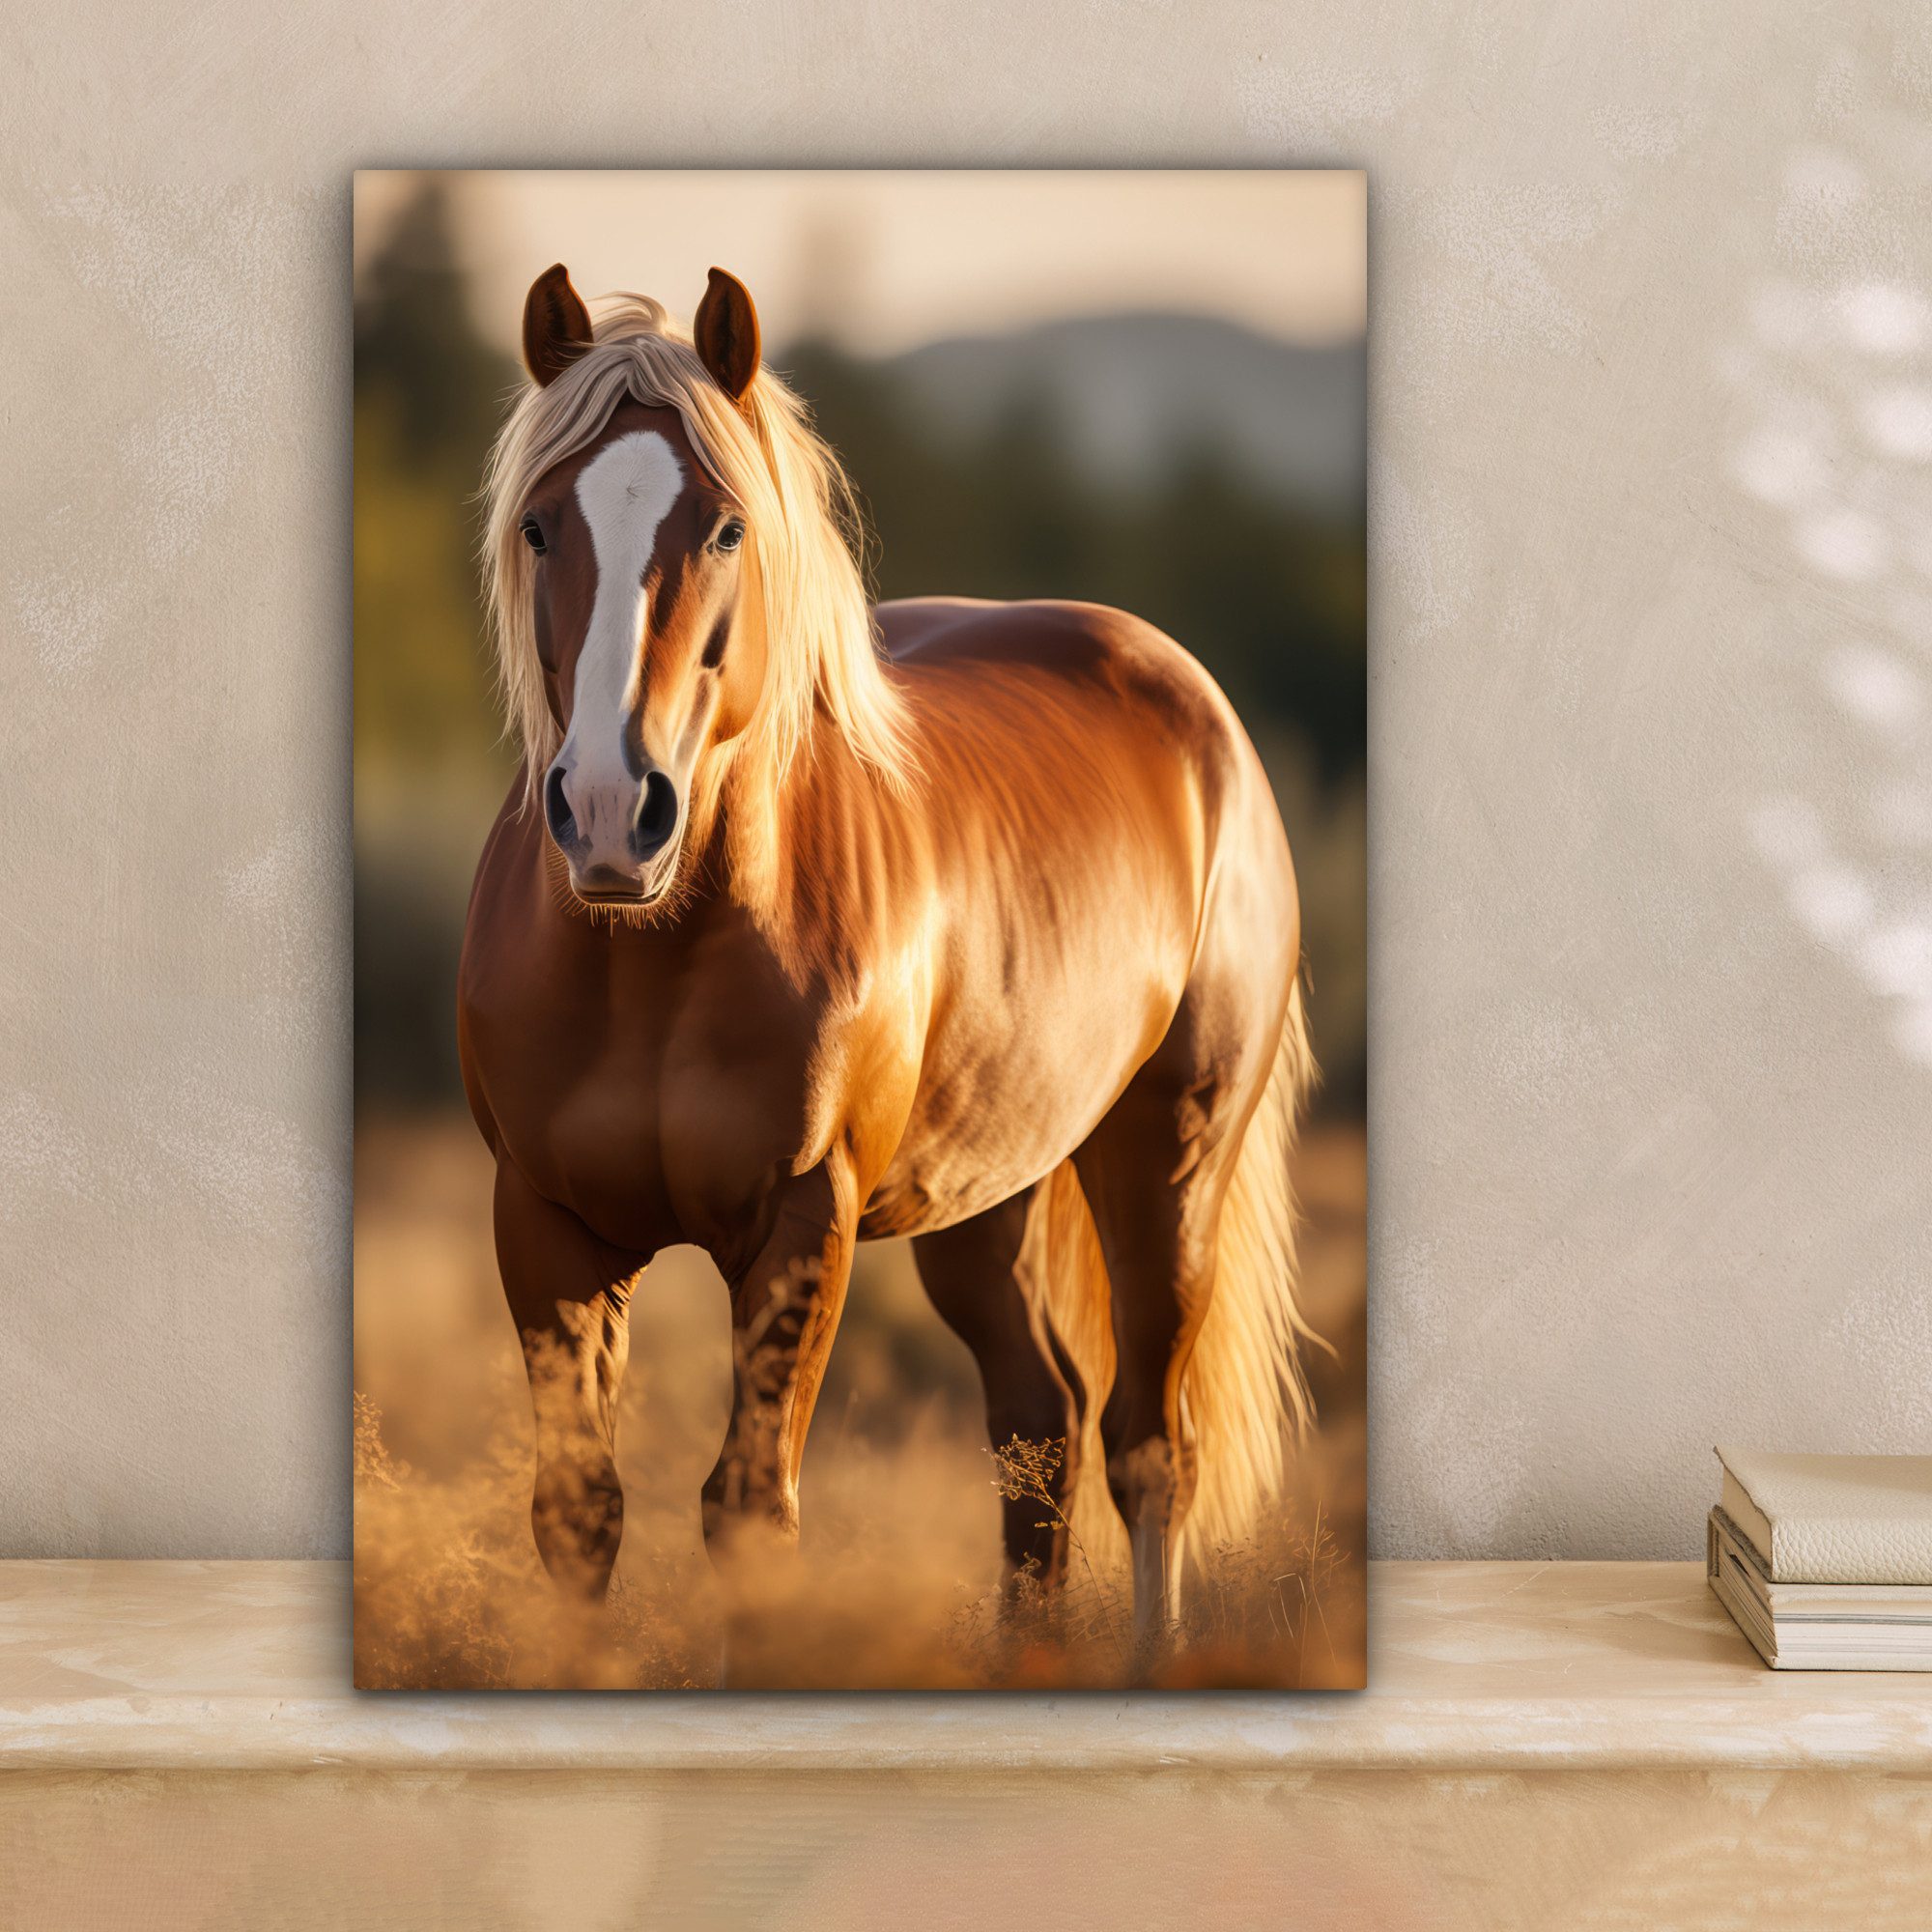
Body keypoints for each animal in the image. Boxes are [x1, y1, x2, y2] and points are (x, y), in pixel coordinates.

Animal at [456, 262, 1319, 1670]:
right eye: (538, 525)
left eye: (726, 529)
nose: (607, 813)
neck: (652, 963)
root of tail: (1196, 706)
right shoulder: (545, 1220)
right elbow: (578, 1512)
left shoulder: (803, 1220)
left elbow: (749, 1510)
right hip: (985, 1199)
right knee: (1039, 1427)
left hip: (1167, 1160)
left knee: (1148, 1446)